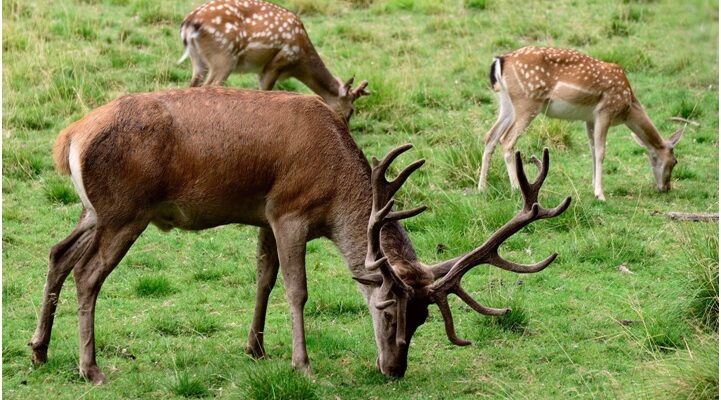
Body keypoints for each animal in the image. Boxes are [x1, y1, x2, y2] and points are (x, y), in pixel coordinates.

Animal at [31, 86, 572, 382]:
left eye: (422, 319)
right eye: (388, 310)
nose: (394, 369)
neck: (334, 192)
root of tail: (70, 137)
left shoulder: (264, 215)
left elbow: (264, 278)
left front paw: (255, 348)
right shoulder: (289, 211)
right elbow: (296, 289)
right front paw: (303, 364)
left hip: (94, 210)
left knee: (57, 254)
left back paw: (39, 351)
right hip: (126, 211)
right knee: (87, 273)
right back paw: (91, 368)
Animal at [176, 0, 366, 122]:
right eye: (351, 110)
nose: (344, 126)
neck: (299, 63)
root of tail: (189, 23)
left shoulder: (262, 71)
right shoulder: (276, 64)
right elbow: (266, 92)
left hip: (198, 60)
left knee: (193, 85)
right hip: (224, 57)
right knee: (210, 86)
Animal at [476, 45, 684, 200]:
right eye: (675, 161)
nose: (666, 187)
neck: (628, 106)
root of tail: (500, 60)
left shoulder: (589, 119)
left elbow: (592, 150)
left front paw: (593, 186)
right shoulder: (605, 111)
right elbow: (601, 151)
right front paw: (600, 194)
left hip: (507, 103)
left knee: (490, 136)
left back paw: (481, 188)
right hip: (527, 102)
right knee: (507, 140)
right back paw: (516, 188)